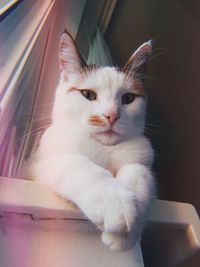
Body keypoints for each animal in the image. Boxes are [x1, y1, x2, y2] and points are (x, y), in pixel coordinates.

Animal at [24, 32, 156, 252]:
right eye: (88, 94)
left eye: (128, 98)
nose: (112, 115)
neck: (104, 148)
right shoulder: (37, 168)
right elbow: (78, 162)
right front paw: (115, 204)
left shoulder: (141, 158)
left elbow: (140, 172)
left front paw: (129, 231)